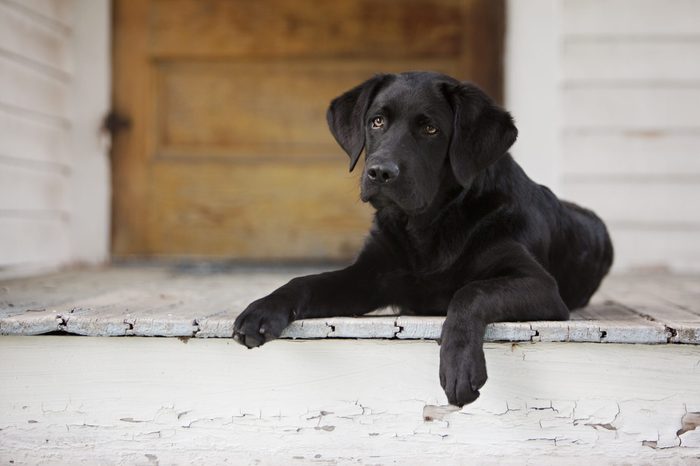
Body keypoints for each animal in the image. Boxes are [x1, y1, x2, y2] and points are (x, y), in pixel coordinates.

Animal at [231, 71, 612, 406]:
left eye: (430, 129)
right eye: (377, 122)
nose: (380, 172)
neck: (428, 226)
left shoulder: (540, 285)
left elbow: (470, 291)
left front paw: (460, 365)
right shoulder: (367, 276)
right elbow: (305, 281)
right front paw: (262, 309)